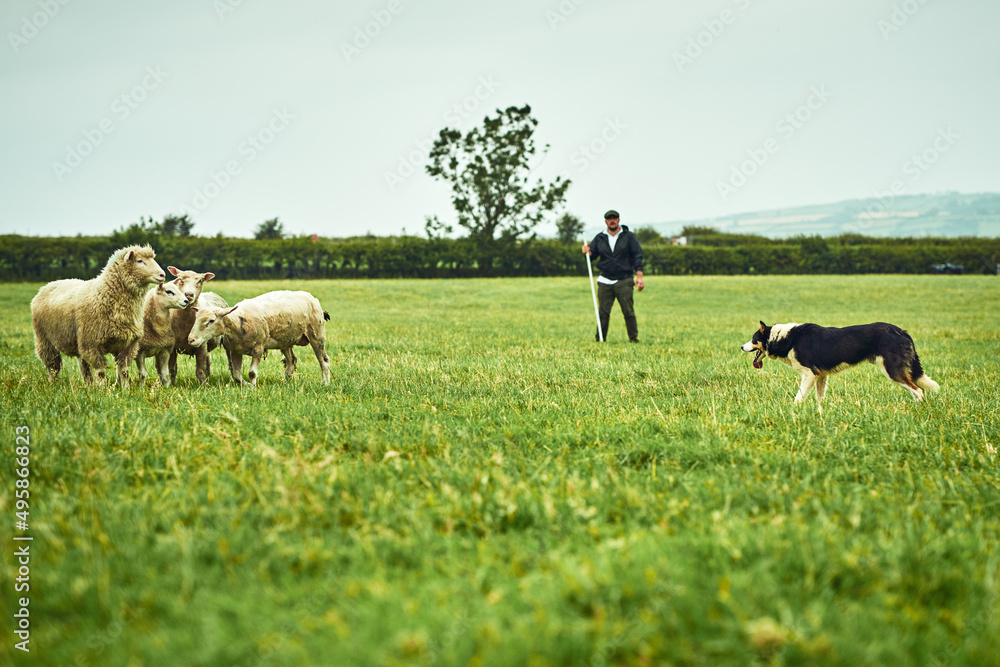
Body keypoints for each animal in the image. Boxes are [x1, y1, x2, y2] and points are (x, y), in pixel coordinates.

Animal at [31, 245, 165, 386]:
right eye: (139, 261)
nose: (163, 275)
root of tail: (49, 284)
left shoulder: (128, 344)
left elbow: (123, 371)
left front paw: (125, 388)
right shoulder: (92, 343)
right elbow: (101, 372)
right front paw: (102, 388)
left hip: (79, 342)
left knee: (83, 367)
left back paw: (88, 385)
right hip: (44, 340)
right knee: (53, 366)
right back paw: (53, 383)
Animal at [186, 290, 330, 386]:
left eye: (211, 320)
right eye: (196, 319)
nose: (191, 340)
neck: (237, 322)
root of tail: (311, 297)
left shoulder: (258, 348)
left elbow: (252, 373)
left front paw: (254, 387)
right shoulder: (236, 350)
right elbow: (236, 375)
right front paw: (247, 386)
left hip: (316, 334)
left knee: (323, 360)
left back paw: (325, 383)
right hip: (284, 340)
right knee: (291, 361)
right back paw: (284, 382)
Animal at [744, 322, 936, 410]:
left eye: (753, 339)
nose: (741, 347)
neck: (785, 339)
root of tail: (901, 331)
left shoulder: (809, 374)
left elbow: (798, 397)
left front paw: (793, 409)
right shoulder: (821, 376)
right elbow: (819, 398)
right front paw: (819, 411)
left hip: (892, 370)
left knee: (918, 390)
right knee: (919, 389)